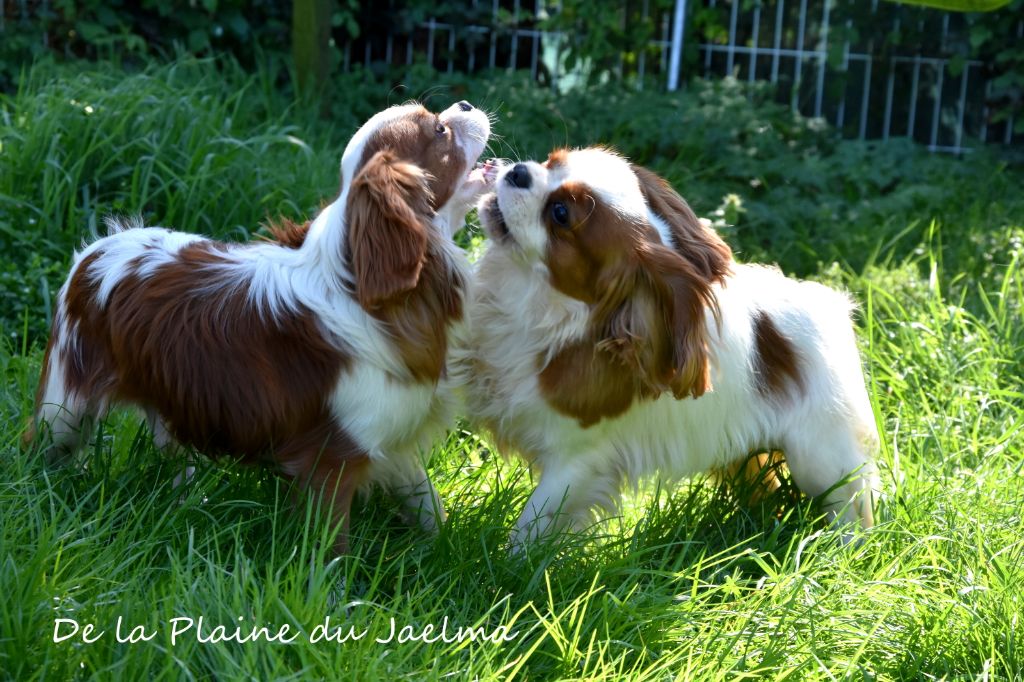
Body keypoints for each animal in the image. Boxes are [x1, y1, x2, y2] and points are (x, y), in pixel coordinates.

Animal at [458, 147, 880, 548]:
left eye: (561, 214)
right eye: (550, 161)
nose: (519, 172)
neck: (536, 300)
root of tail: (832, 306)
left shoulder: (577, 460)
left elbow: (533, 524)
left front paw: (512, 566)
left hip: (820, 458)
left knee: (849, 506)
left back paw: (842, 551)